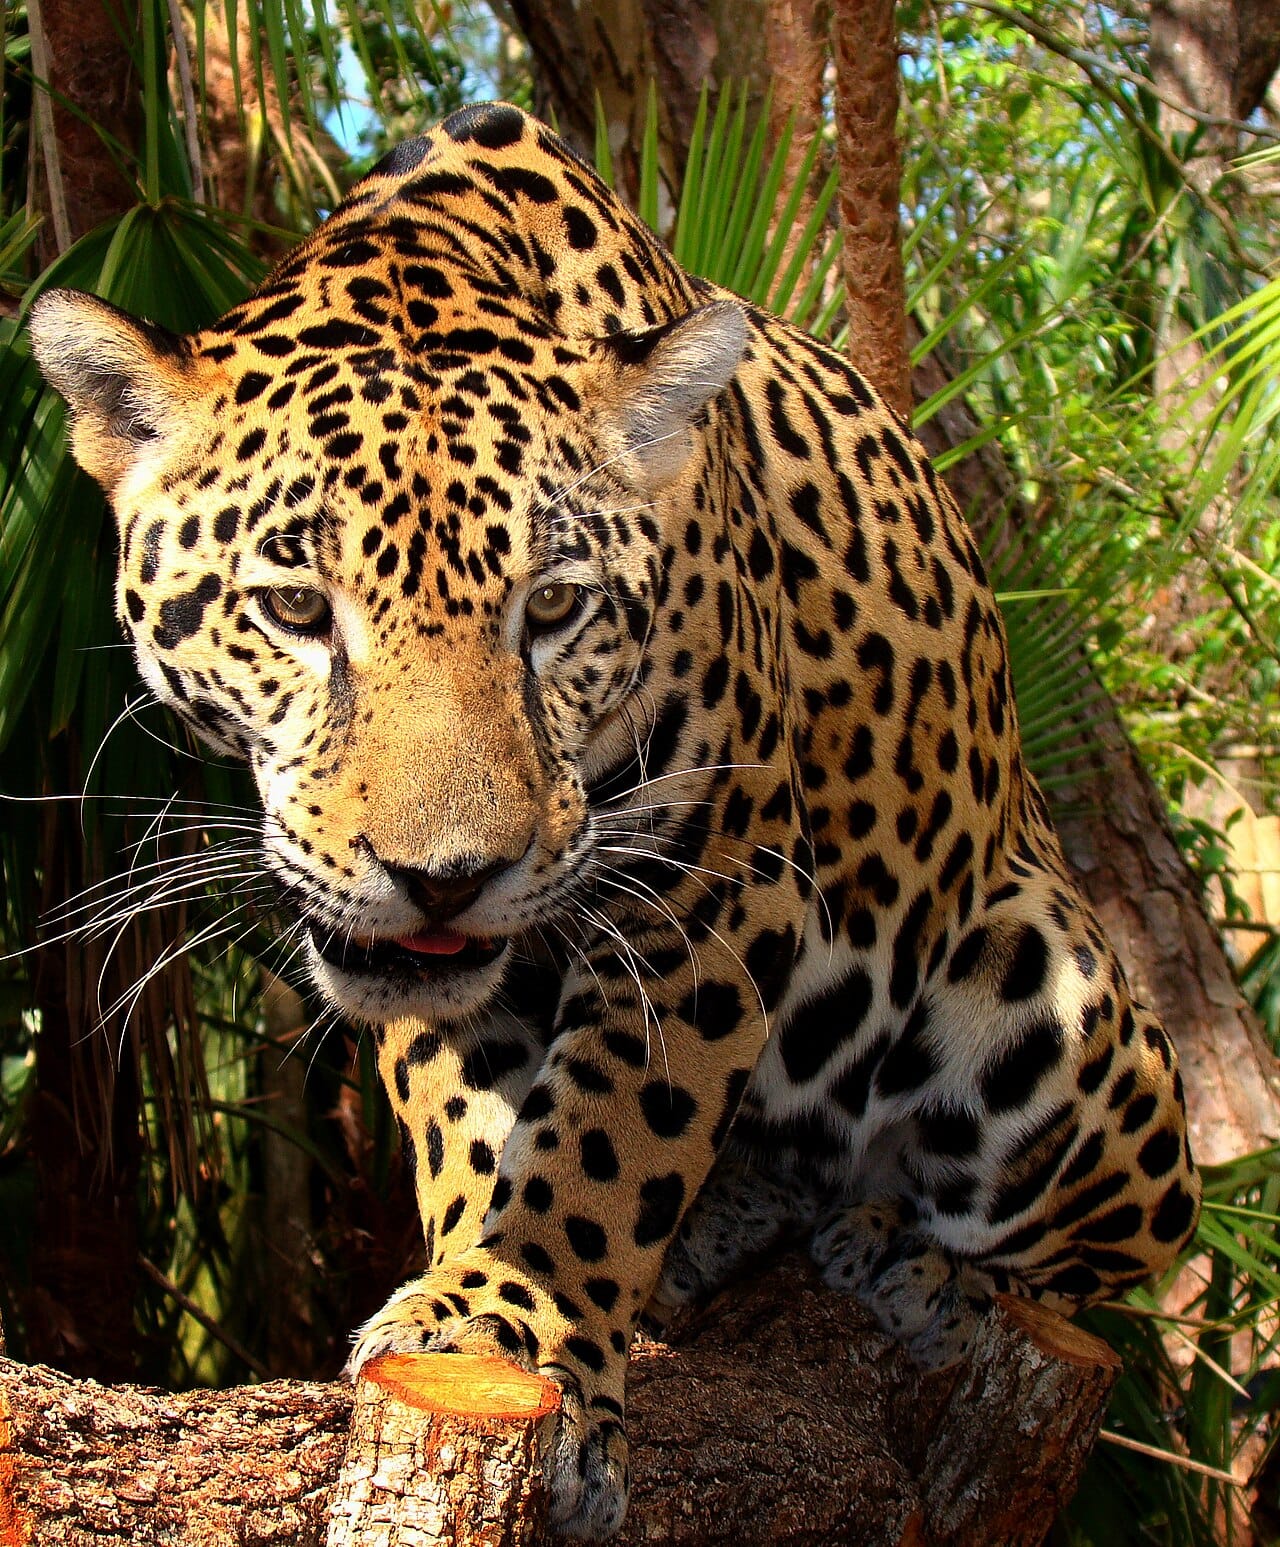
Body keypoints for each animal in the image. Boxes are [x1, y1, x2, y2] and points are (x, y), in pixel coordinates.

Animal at [30, 101, 1199, 1540]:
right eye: (295, 607)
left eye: (555, 608)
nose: (444, 877)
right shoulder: (451, 980)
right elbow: (476, 1127)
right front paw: (479, 1301)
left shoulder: (714, 882)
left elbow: (611, 1137)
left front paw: (517, 1311)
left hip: (1049, 990)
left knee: (1118, 1234)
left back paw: (911, 1259)